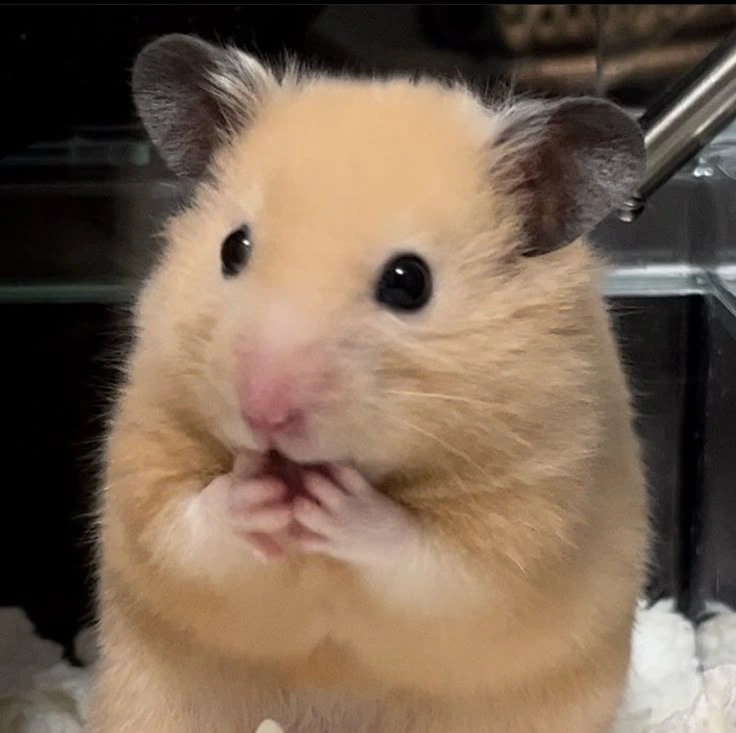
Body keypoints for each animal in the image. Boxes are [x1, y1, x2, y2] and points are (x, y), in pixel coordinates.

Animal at [87, 33, 650, 733]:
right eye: (233, 248)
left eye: (409, 282)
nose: (263, 412)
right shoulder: (149, 446)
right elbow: (181, 526)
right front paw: (256, 493)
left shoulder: (534, 515)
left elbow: (434, 562)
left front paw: (336, 503)